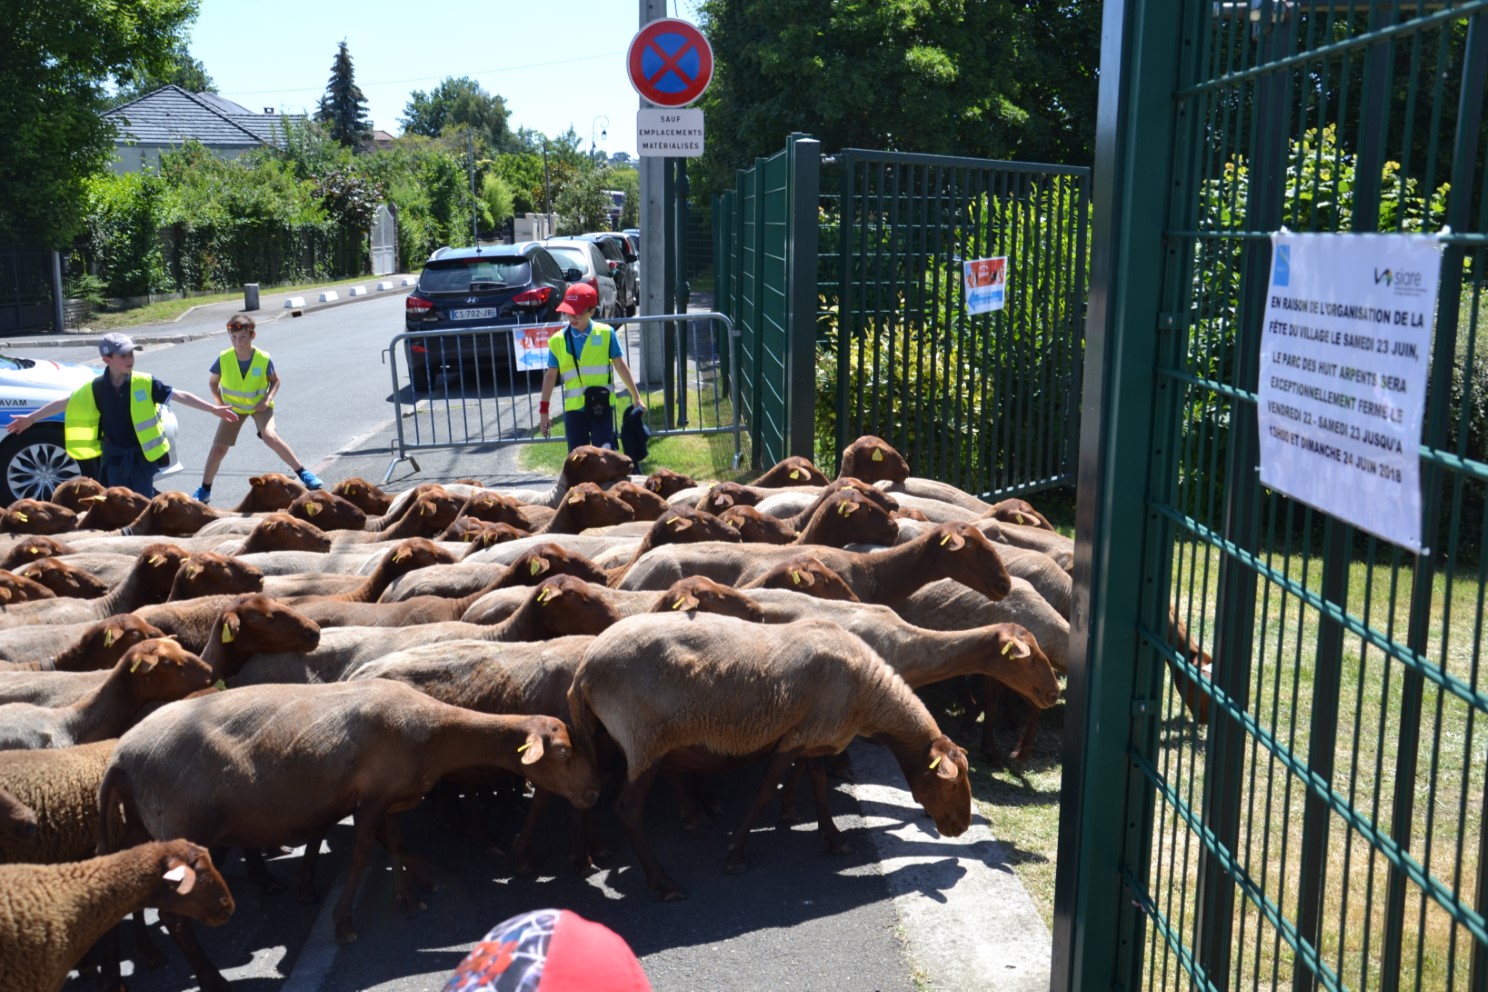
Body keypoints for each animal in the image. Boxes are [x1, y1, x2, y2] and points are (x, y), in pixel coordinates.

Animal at [100, 678, 604, 963]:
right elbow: (363, 852)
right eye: (562, 753)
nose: (593, 793)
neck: (434, 732)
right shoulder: (374, 796)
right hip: (186, 827)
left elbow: (394, 842)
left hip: (141, 827)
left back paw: (147, 953)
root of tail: (122, 757)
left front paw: (413, 892)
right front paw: (345, 921)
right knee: (175, 915)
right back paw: (211, 980)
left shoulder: (388, 796)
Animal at [562, 612, 970, 898]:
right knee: (628, 810)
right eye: (951, 784)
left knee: (586, 789)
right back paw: (663, 883)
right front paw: (735, 855)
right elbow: (763, 793)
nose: (962, 827)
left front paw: (834, 838)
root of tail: (585, 670)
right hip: (642, 740)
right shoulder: (791, 741)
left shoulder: (810, 735)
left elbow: (818, 785)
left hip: (604, 736)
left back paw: (589, 854)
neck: (866, 694)